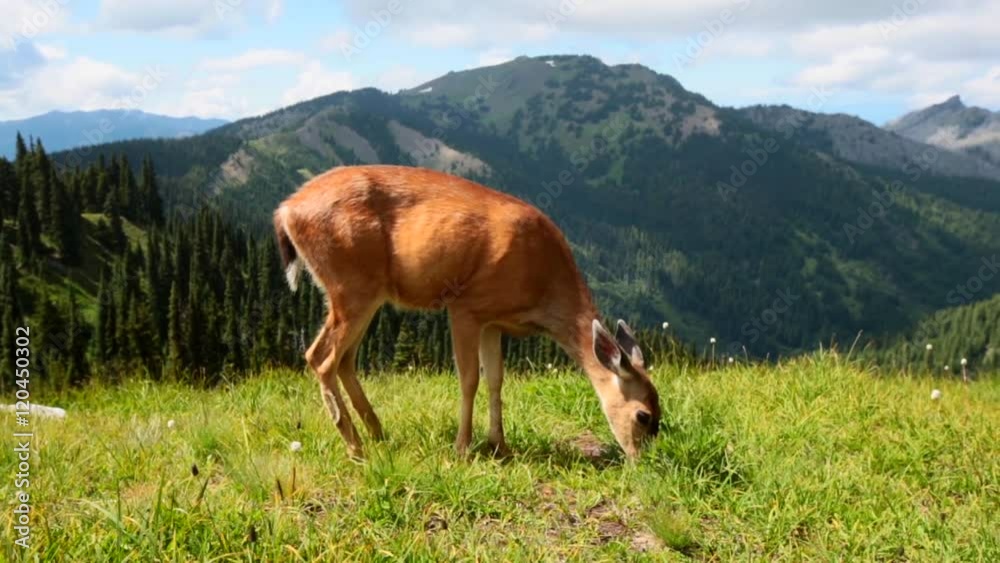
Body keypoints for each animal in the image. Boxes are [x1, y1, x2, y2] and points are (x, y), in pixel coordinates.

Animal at [276, 165, 664, 460]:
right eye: (643, 416)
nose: (643, 461)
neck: (543, 286)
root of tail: (286, 210)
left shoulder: (493, 321)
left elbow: (495, 379)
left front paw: (500, 446)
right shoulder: (466, 305)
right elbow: (469, 379)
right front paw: (462, 448)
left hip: (364, 294)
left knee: (345, 359)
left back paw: (378, 433)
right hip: (350, 283)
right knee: (320, 357)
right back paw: (356, 447)